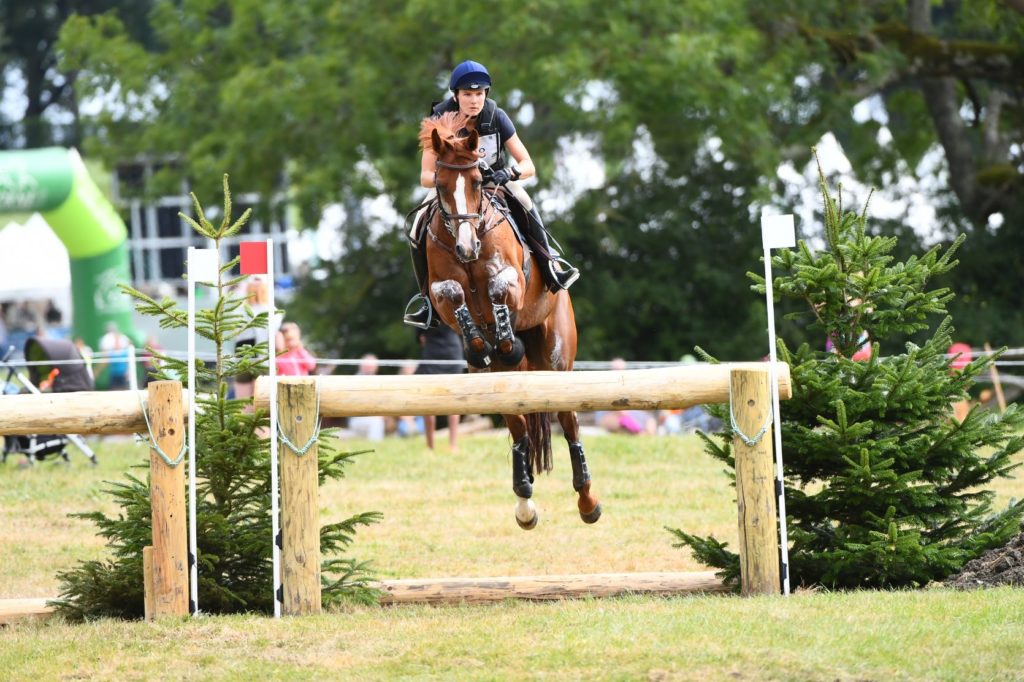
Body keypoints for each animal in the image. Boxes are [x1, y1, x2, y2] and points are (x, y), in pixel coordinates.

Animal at [415, 111, 598, 528]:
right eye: (441, 185)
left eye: (478, 181)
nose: (467, 248)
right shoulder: (440, 291)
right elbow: (453, 294)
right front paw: (479, 344)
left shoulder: (513, 279)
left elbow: (499, 288)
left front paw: (504, 339)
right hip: (500, 382)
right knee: (518, 431)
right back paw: (524, 501)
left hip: (556, 361)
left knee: (569, 422)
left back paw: (587, 500)